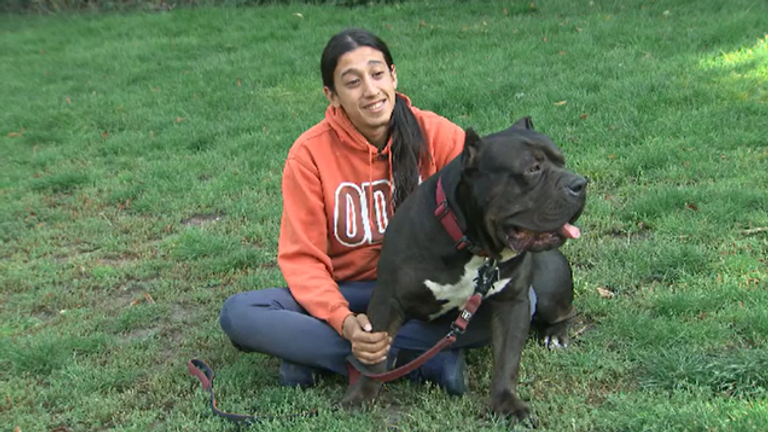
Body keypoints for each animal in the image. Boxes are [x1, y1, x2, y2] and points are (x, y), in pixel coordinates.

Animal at [340, 117, 584, 422]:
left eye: (562, 162)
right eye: (532, 169)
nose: (579, 183)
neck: (473, 245)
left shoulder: (513, 302)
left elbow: (507, 360)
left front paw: (506, 402)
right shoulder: (388, 299)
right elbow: (373, 357)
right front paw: (360, 395)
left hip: (550, 291)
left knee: (565, 311)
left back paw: (556, 334)